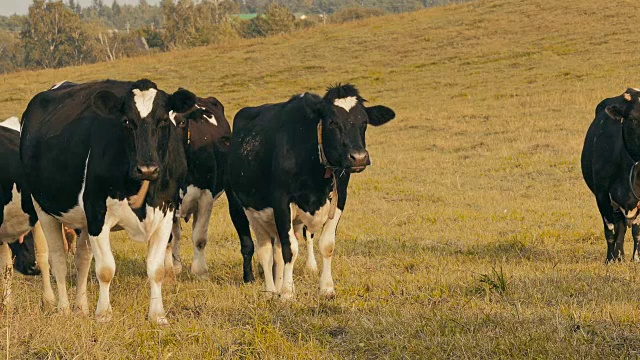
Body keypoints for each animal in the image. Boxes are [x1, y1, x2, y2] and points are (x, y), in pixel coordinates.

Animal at [20, 79, 195, 324]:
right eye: (127, 121)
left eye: (163, 120)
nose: (147, 168)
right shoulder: (97, 212)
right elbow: (105, 269)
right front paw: (103, 314)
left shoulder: (166, 212)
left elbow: (156, 269)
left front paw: (157, 315)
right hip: (43, 209)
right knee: (57, 259)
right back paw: (61, 307)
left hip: (82, 220)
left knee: (82, 259)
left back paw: (80, 307)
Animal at [168, 94, 232, 278]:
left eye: (182, 122)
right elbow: (169, 238)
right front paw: (169, 269)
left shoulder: (205, 197)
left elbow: (199, 238)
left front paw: (200, 272)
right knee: (176, 234)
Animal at [225, 84, 396, 298]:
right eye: (332, 122)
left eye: (364, 122)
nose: (358, 157)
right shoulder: (281, 201)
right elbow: (290, 249)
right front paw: (287, 293)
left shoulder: (339, 199)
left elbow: (327, 245)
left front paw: (326, 288)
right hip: (245, 209)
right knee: (264, 250)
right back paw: (271, 290)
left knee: (277, 251)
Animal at [584, 87, 640, 262]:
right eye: (633, 118)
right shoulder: (602, 195)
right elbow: (610, 230)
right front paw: (610, 259)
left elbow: (637, 231)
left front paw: (636, 258)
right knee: (619, 228)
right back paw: (618, 256)